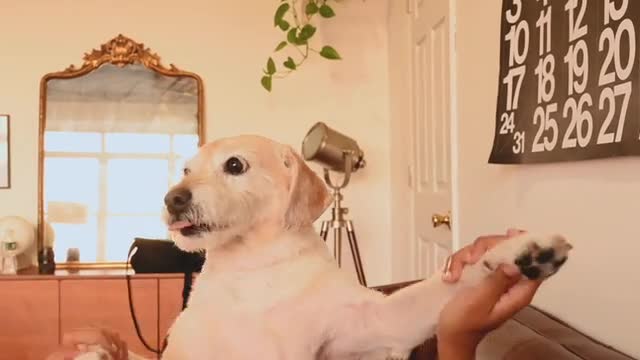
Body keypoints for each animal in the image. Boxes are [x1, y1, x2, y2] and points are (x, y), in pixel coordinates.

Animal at [74, 136, 568, 360]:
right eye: (186, 168)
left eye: (234, 165)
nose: (172, 198)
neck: (252, 270)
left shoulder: (373, 324)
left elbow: (441, 287)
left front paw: (521, 250)